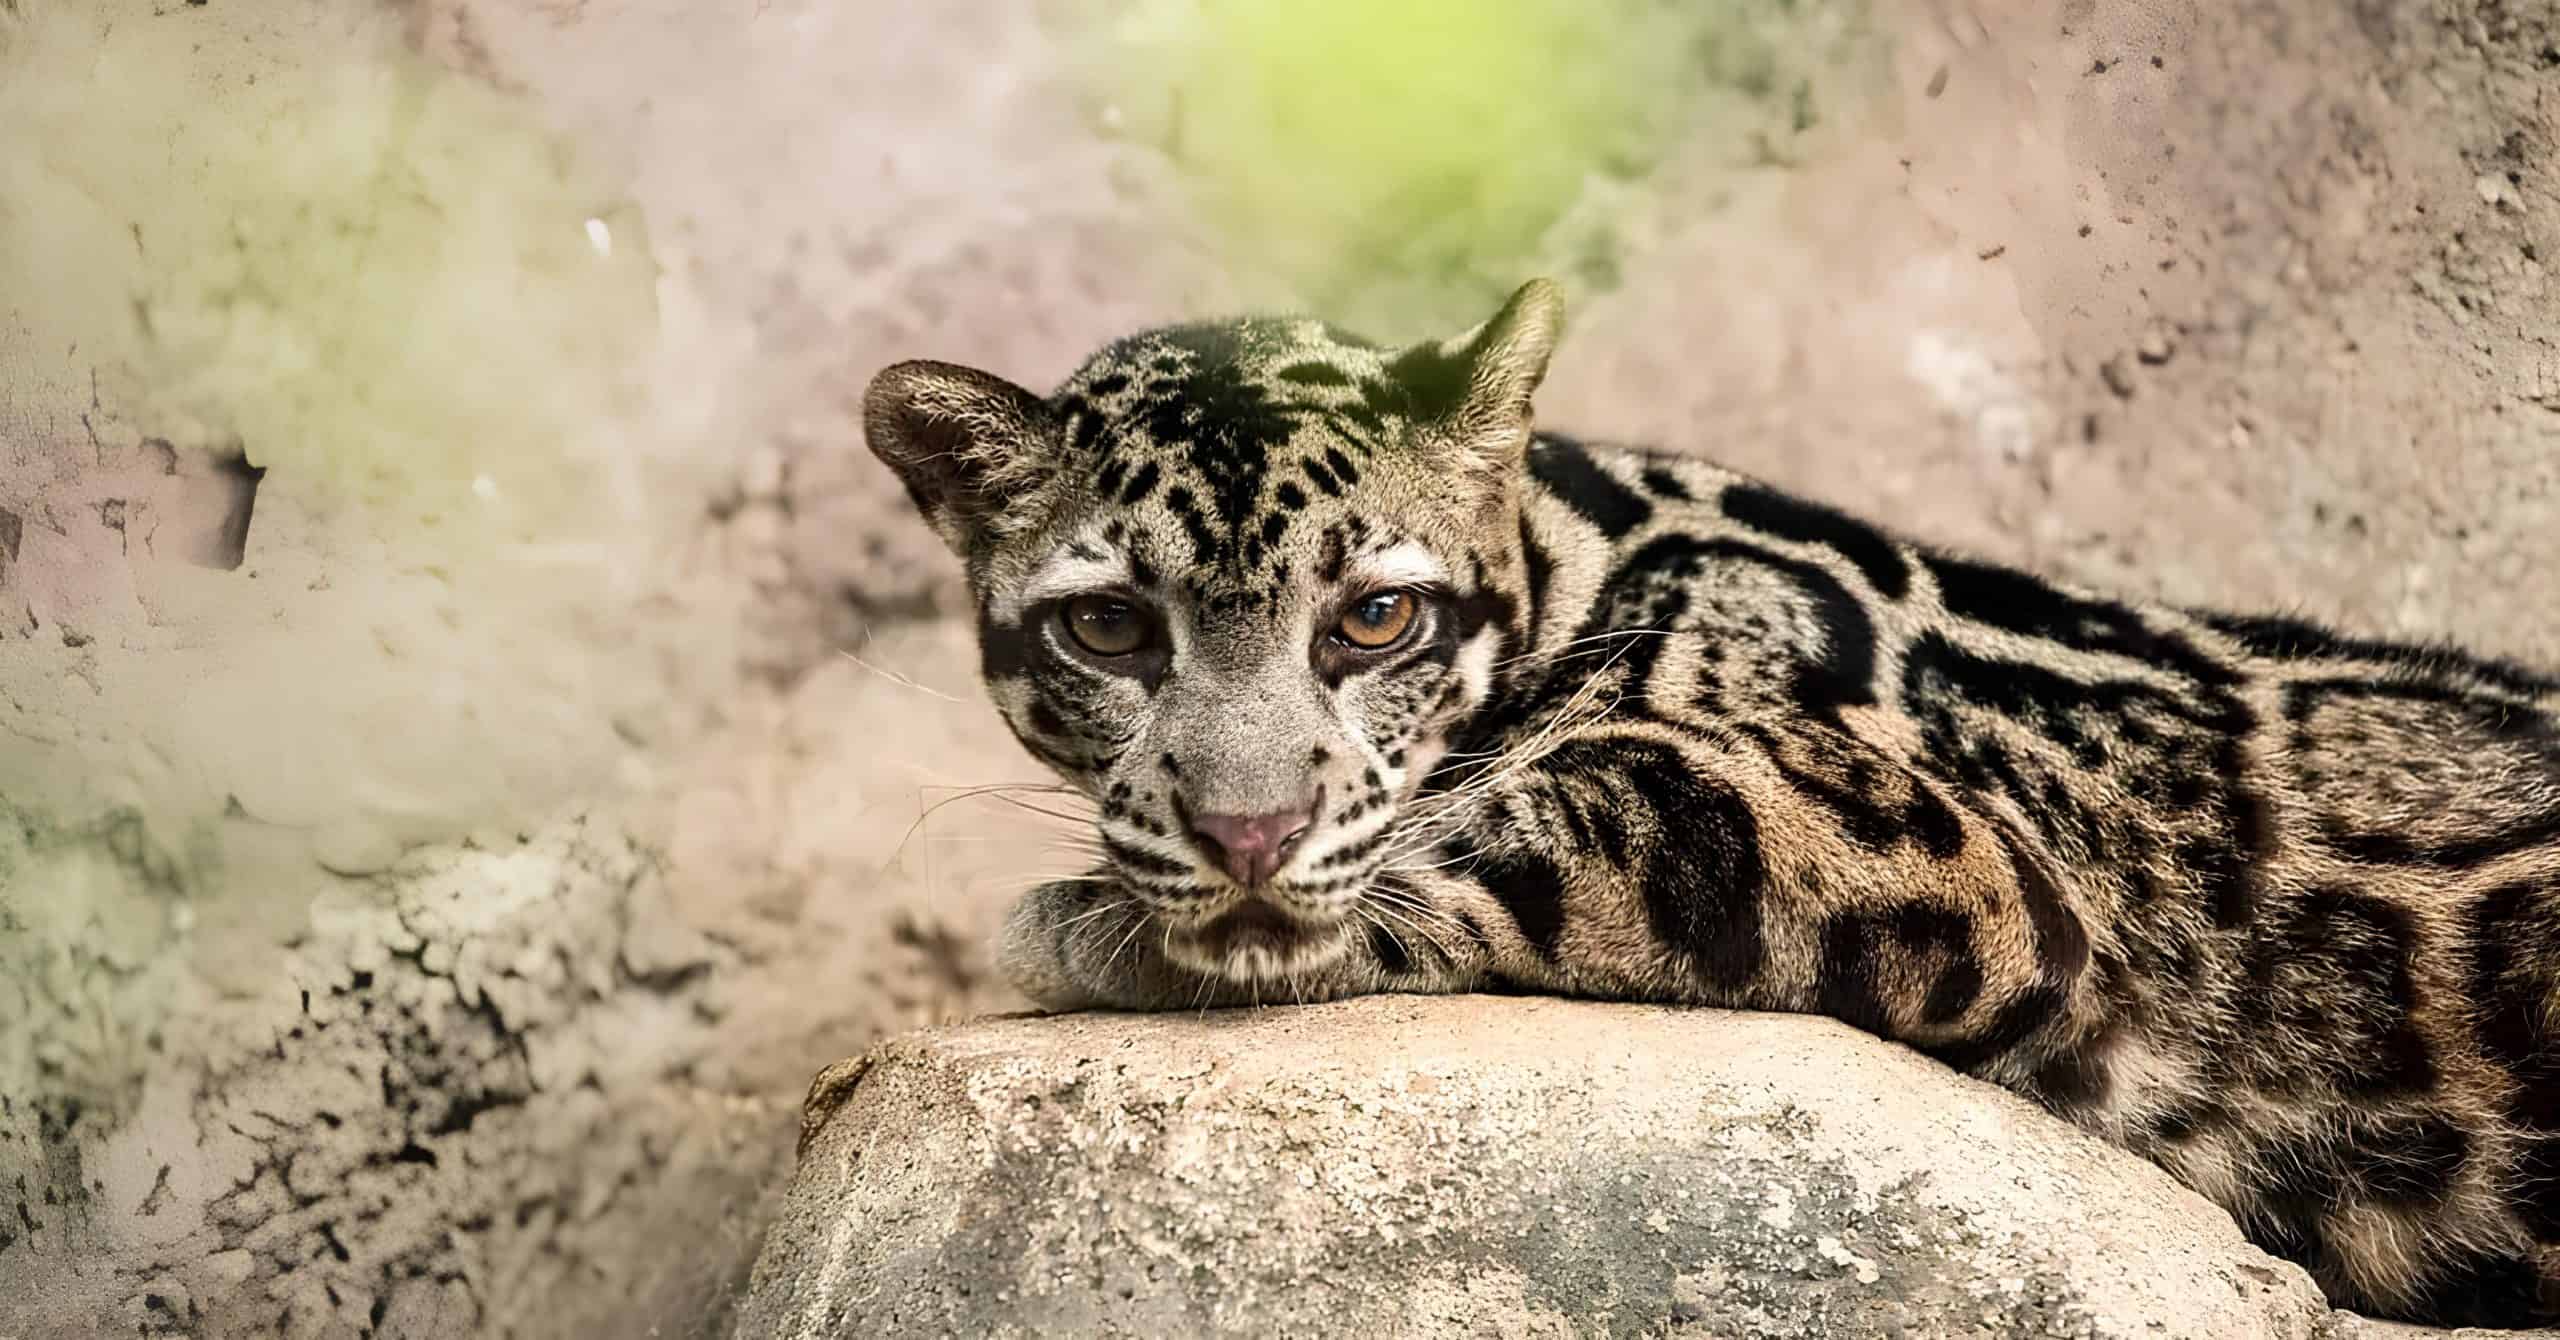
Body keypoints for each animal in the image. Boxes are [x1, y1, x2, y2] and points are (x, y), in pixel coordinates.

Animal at [860, 279, 2560, 1328]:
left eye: (1376, 620)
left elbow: (1533, 821)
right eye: (1107, 629)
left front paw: (1102, 921)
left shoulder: (1919, 839)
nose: (1246, 835)